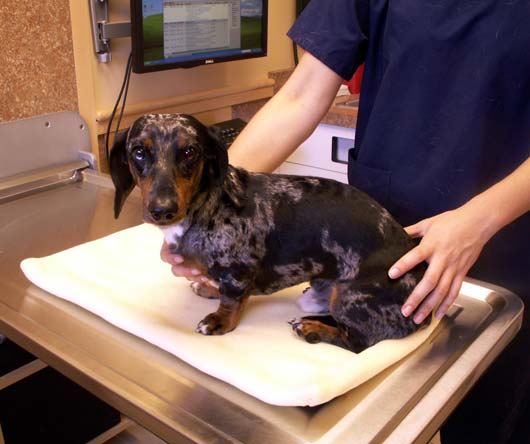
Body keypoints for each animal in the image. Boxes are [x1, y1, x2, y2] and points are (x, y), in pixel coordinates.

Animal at [110, 114, 428, 354]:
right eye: (139, 152)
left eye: (189, 152)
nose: (162, 210)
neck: (206, 207)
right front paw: (208, 287)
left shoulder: (239, 270)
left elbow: (231, 299)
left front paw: (219, 321)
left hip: (349, 296)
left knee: (357, 341)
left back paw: (311, 328)